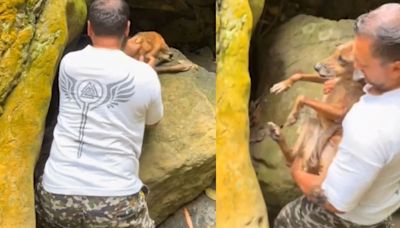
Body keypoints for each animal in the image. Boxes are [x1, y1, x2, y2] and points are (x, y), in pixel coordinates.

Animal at [268, 41, 364, 175]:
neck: (346, 80)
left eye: (342, 59)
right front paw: (284, 84)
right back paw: (276, 134)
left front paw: (293, 115)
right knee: (291, 157)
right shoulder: (328, 78)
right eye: (335, 51)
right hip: (310, 125)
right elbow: (299, 74)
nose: (316, 67)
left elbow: (302, 97)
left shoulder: (340, 111)